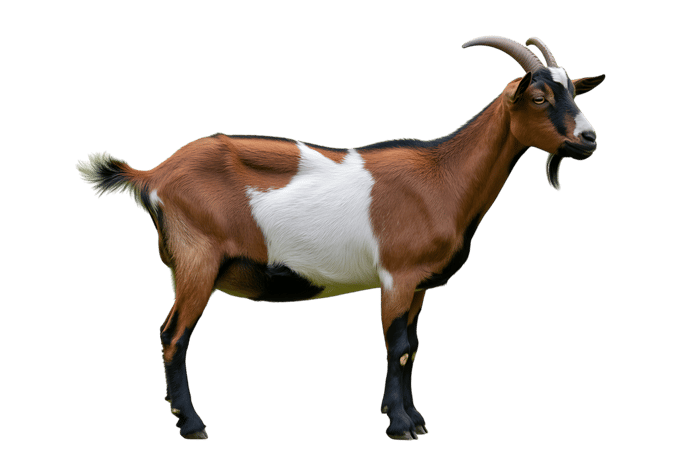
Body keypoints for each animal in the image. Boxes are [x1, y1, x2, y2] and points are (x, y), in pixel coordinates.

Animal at [76, 35, 606, 441]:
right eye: (538, 98)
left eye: (574, 95)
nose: (589, 138)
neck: (443, 178)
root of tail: (154, 174)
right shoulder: (397, 275)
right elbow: (397, 345)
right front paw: (401, 426)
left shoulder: (418, 286)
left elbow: (415, 345)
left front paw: (412, 416)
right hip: (196, 260)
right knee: (174, 336)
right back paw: (191, 424)